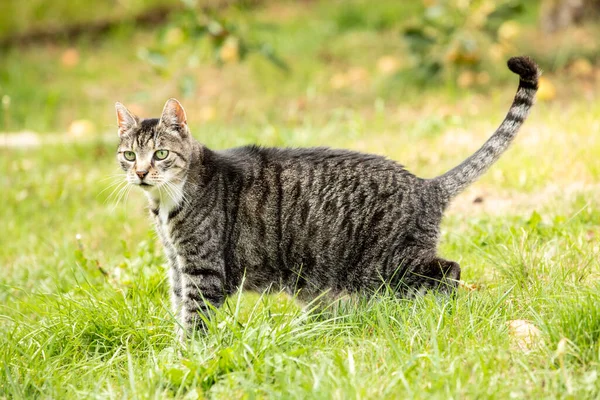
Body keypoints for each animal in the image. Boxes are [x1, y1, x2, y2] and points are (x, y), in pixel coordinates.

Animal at [115, 57, 540, 338]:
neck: (166, 205)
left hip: (390, 264)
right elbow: (178, 309)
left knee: (449, 271)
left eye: (161, 154)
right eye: (129, 155)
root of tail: (426, 185)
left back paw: (433, 317)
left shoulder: (203, 270)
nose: (140, 173)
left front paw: (187, 357)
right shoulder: (177, 265)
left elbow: (193, 320)